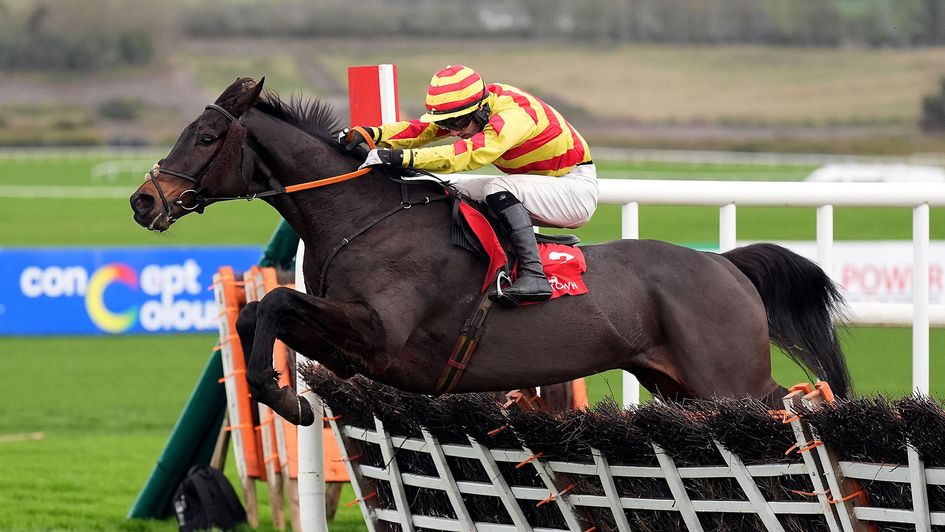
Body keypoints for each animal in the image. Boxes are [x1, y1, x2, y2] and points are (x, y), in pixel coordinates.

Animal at [127, 79, 848, 426]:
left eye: (206, 135)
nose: (143, 200)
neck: (365, 220)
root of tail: (724, 265)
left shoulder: (381, 337)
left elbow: (275, 301)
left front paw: (285, 397)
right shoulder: (354, 347)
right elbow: (260, 312)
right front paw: (283, 391)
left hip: (728, 377)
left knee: (797, 401)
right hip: (681, 384)